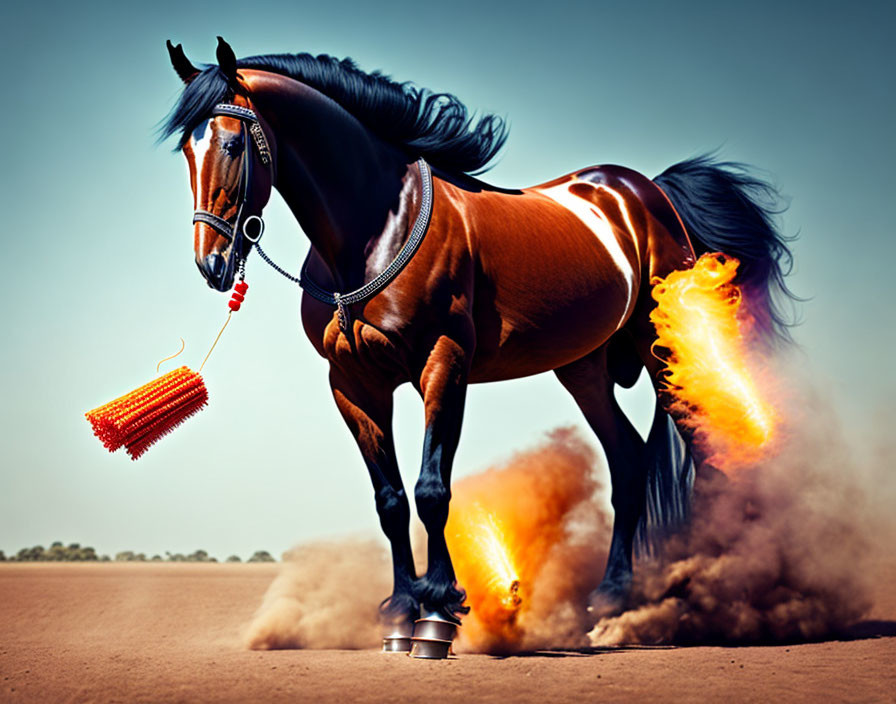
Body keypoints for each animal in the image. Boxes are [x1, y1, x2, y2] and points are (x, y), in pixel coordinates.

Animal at [163, 38, 800, 632]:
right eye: (187, 150)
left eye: (232, 143)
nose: (211, 263)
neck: (373, 230)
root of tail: (646, 191)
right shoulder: (352, 382)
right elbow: (390, 499)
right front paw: (401, 604)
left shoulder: (443, 362)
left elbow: (431, 488)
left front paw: (443, 596)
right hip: (584, 368)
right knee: (629, 459)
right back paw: (612, 594)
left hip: (663, 351)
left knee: (707, 454)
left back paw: (708, 587)